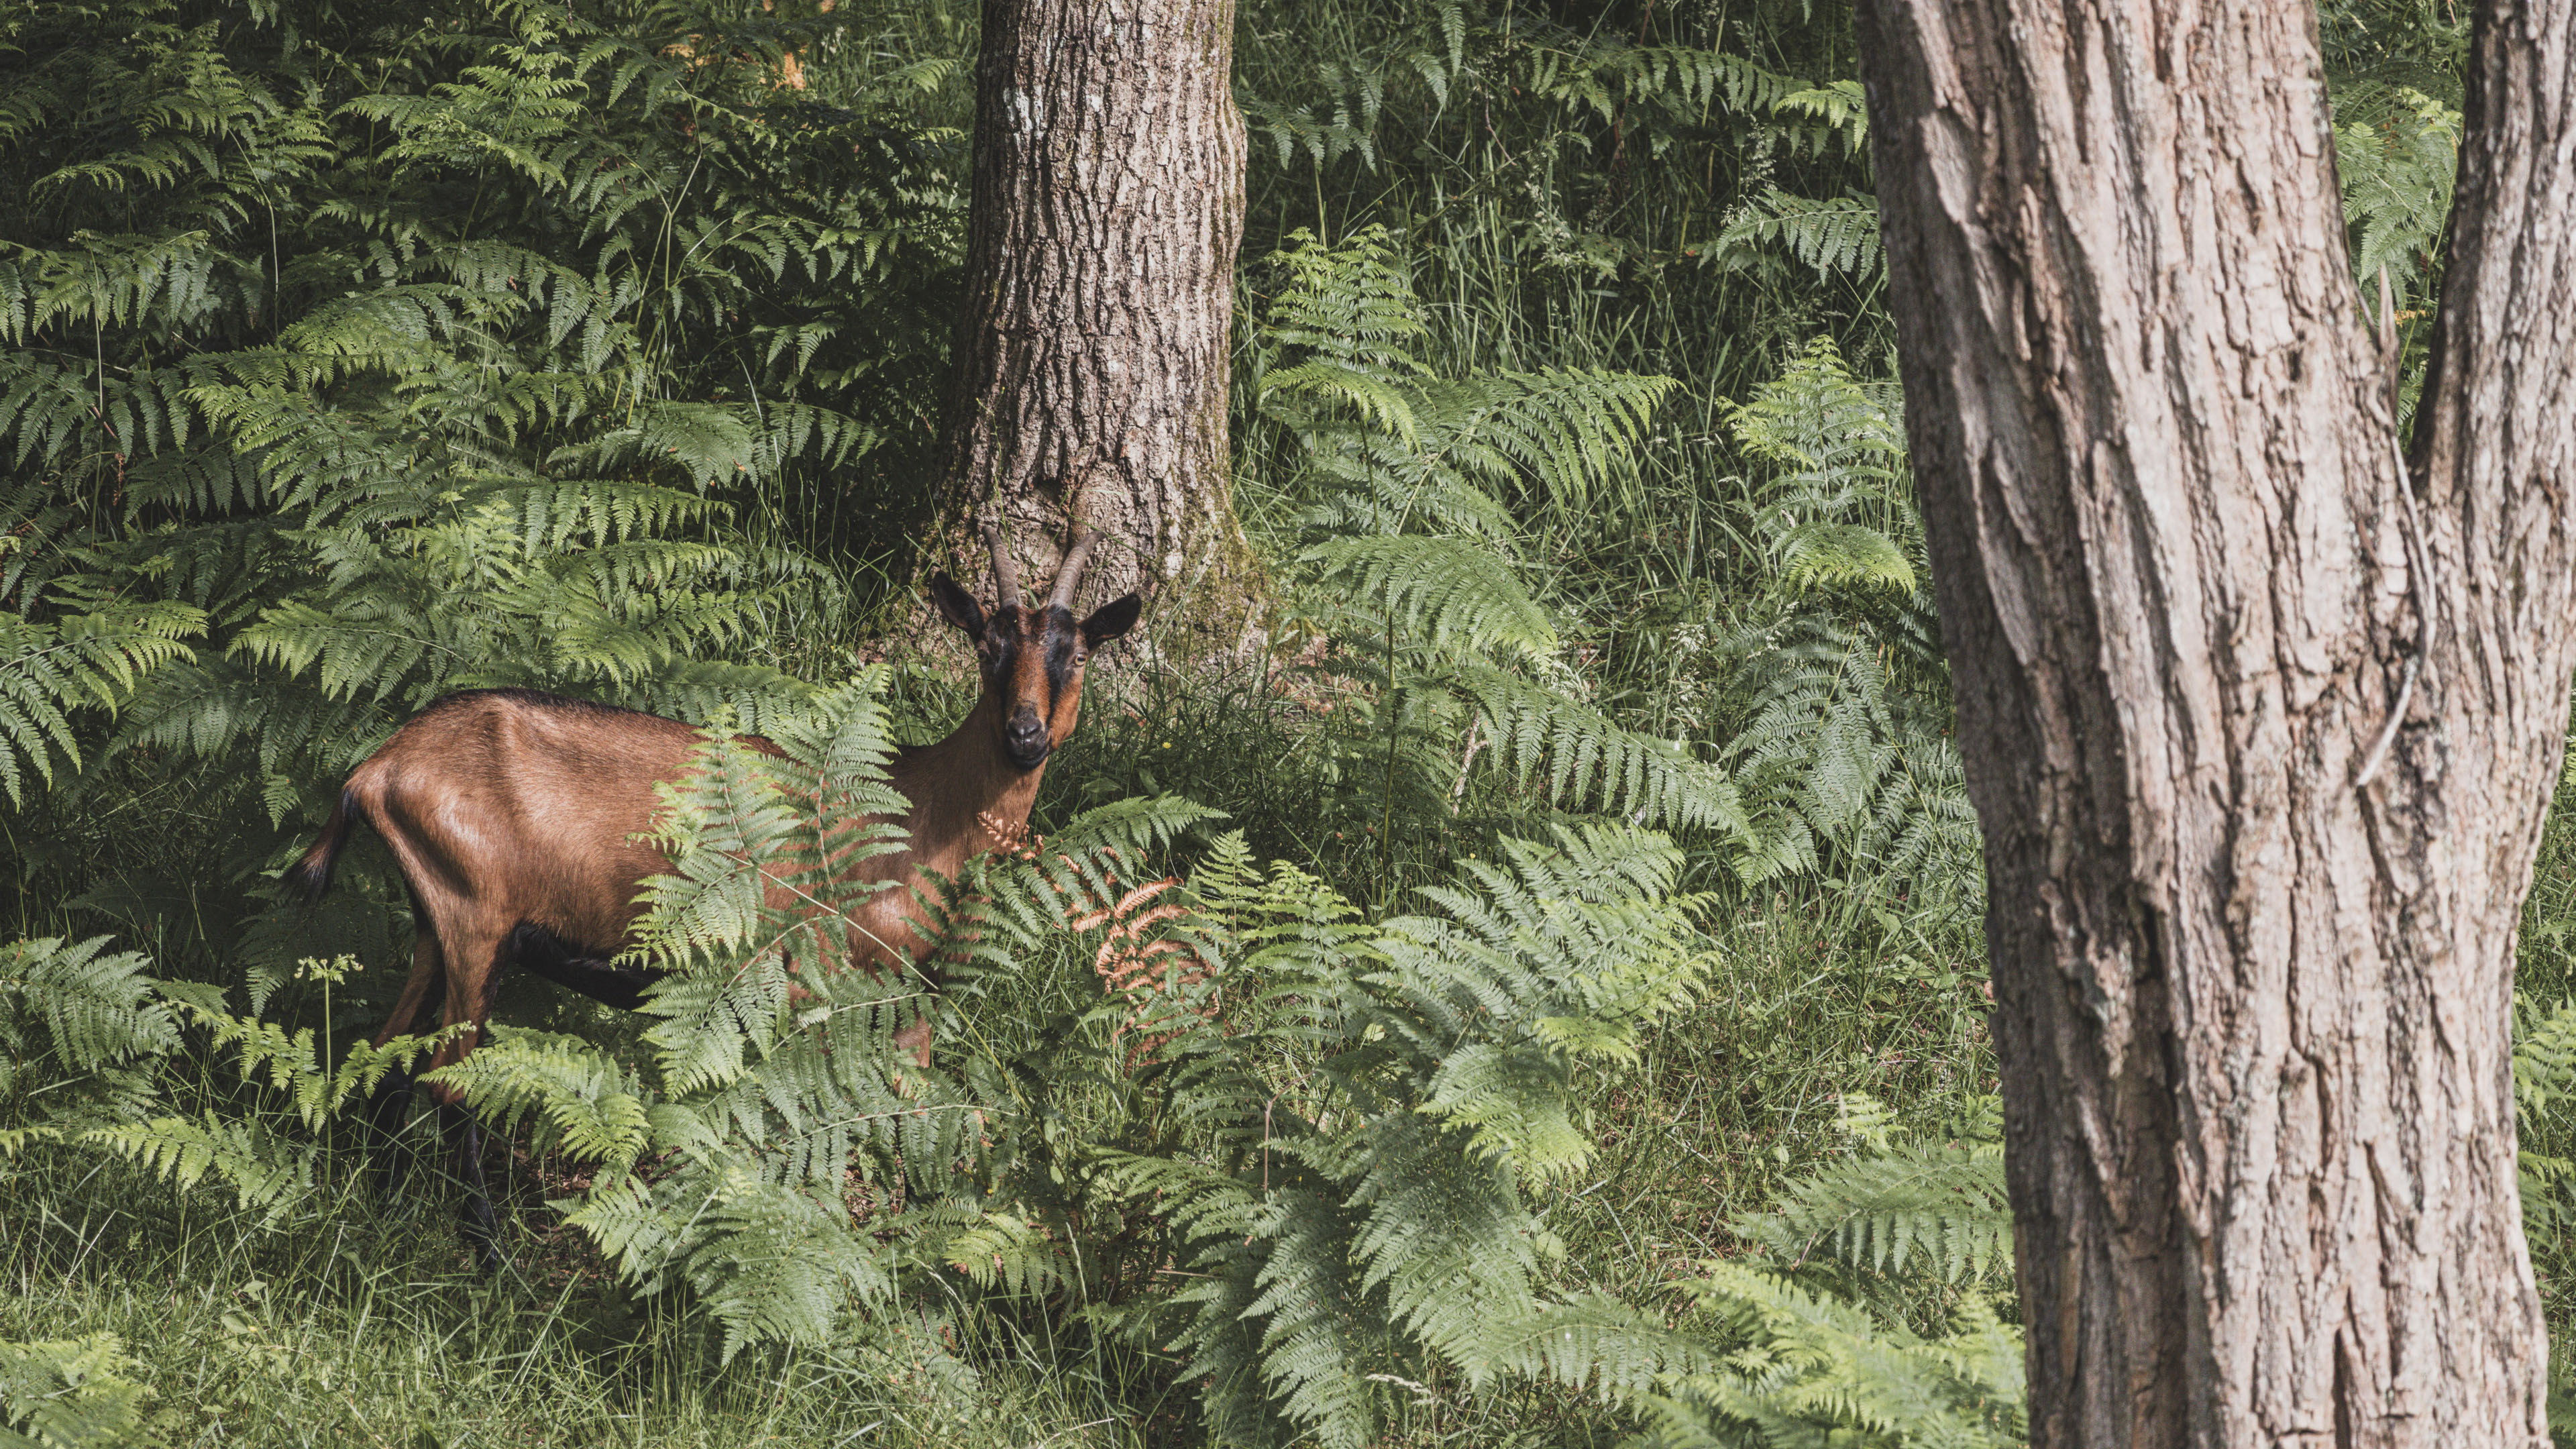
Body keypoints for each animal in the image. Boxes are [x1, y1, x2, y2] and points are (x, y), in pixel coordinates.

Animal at [287, 521, 1143, 1263]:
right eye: (986, 647)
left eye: (1077, 653)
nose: (1025, 736)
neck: (920, 808)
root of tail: (377, 770)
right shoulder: (815, 983)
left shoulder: (906, 1000)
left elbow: (914, 1112)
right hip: (475, 924)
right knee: (449, 1084)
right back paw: (491, 1257)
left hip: (434, 923)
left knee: (384, 1057)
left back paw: (383, 1216)